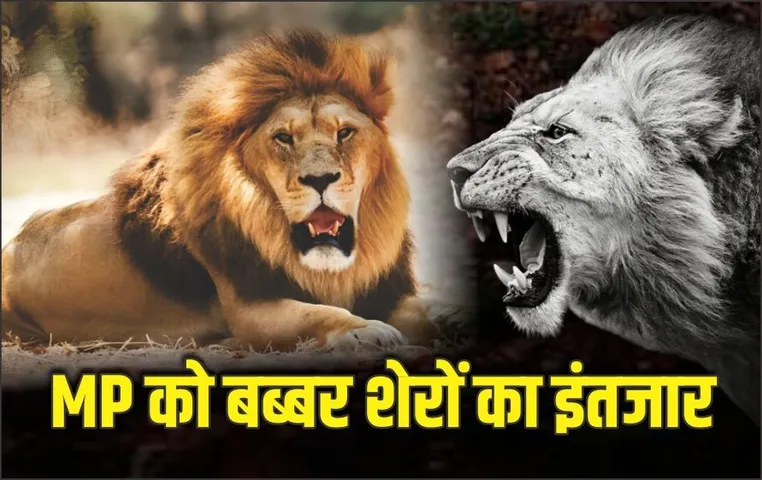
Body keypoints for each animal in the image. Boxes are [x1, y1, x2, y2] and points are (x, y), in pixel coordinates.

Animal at [2, 30, 441, 352]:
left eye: (345, 133)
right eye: (283, 138)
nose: (320, 179)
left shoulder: (383, 288)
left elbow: (424, 307)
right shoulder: (250, 308)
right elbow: (319, 313)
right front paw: (365, 330)